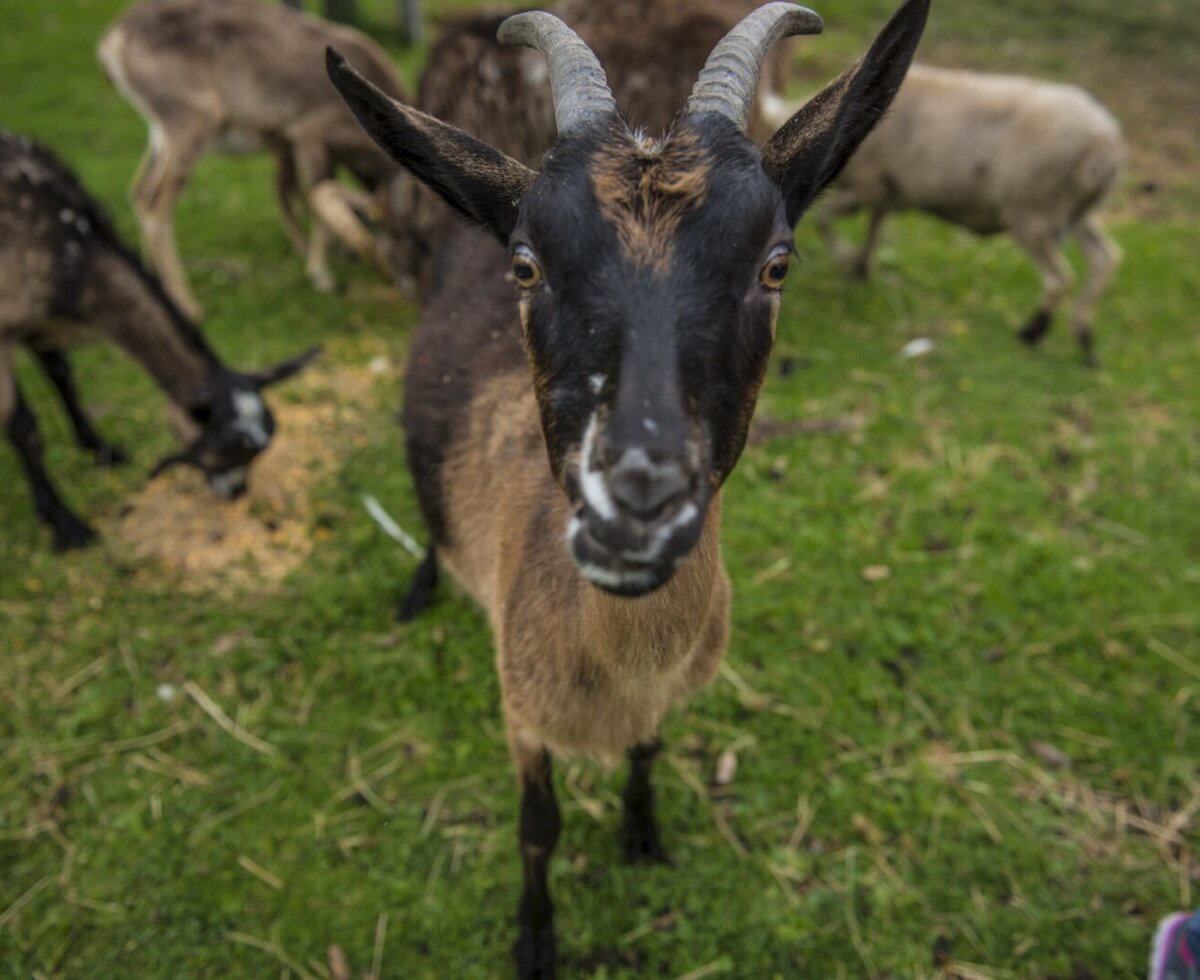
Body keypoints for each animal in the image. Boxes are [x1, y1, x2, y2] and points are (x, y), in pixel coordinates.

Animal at [0, 130, 318, 551]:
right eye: (222, 447)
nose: (236, 491)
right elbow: (23, 427)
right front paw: (64, 523)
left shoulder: (41, 321)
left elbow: (62, 377)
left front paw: (100, 449)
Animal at [97, 0, 409, 321]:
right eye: (399, 232)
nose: (406, 284)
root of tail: (114, 41)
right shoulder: (308, 138)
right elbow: (314, 199)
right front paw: (323, 277)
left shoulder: (290, 144)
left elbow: (292, 193)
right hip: (189, 127)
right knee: (155, 205)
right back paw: (188, 305)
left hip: (160, 137)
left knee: (139, 192)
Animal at [326, 1, 929, 974]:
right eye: (528, 263)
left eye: (776, 264)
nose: (635, 505)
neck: (620, 668)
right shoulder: (520, 709)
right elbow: (538, 827)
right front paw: (536, 938)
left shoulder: (662, 699)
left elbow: (648, 757)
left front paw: (642, 835)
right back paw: (422, 584)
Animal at [811, 64, 1125, 364]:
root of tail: (1105, 145)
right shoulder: (886, 191)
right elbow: (874, 229)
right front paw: (861, 267)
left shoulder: (870, 185)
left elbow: (823, 219)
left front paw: (847, 259)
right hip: (1076, 211)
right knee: (1103, 259)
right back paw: (1084, 337)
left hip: (1031, 207)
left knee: (1059, 277)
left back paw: (1033, 331)